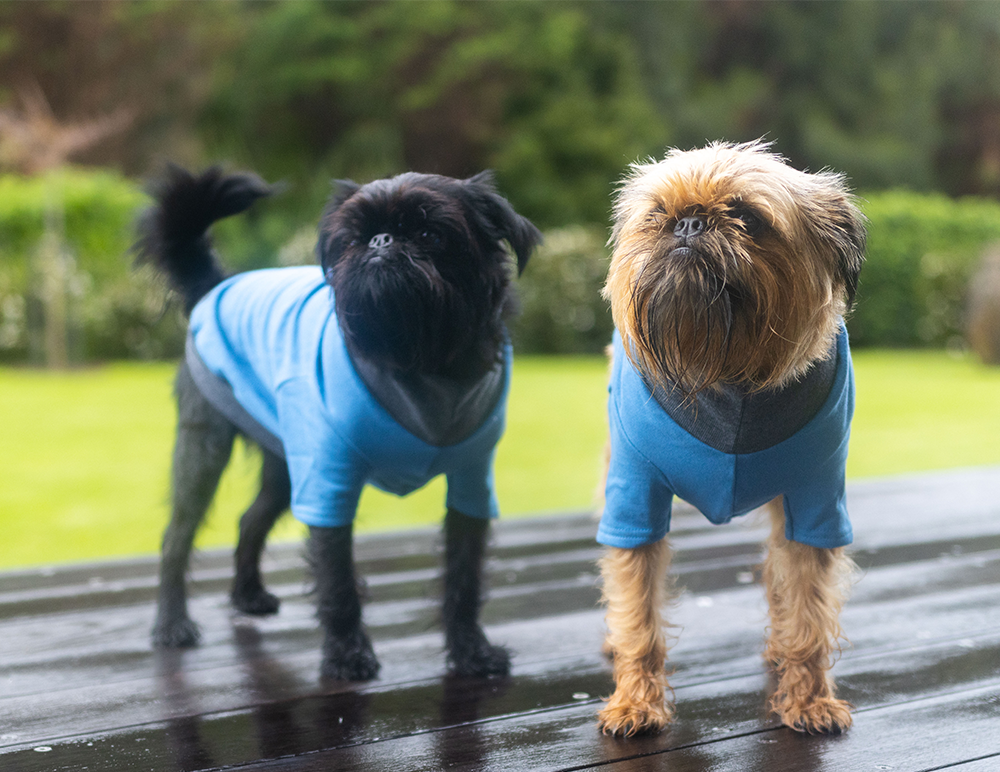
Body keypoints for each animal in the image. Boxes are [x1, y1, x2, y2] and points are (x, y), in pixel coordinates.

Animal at [136, 166, 540, 680]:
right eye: (352, 239)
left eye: (430, 234)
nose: (382, 241)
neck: (421, 364)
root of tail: (216, 287)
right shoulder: (328, 481)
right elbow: (338, 580)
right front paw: (348, 655)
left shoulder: (471, 482)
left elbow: (464, 576)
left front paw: (471, 650)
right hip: (208, 448)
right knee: (177, 536)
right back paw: (172, 625)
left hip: (287, 464)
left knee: (250, 519)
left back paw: (247, 597)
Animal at [596, 142, 864, 740]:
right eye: (658, 214)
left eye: (747, 217)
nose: (688, 223)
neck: (726, 373)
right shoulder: (633, 503)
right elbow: (637, 612)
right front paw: (635, 703)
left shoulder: (815, 503)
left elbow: (809, 609)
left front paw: (808, 699)